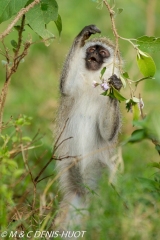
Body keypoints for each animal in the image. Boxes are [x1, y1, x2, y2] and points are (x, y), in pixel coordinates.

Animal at [54, 24, 122, 231]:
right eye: (92, 49)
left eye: (103, 52)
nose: (94, 56)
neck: (92, 82)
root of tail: (86, 193)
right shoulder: (72, 86)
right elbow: (65, 86)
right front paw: (82, 35)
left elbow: (107, 134)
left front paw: (115, 87)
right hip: (72, 186)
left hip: (102, 181)